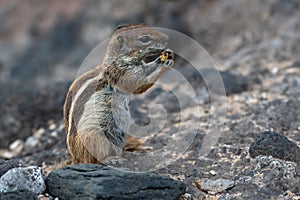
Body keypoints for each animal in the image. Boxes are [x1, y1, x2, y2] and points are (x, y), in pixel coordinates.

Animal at [64, 23, 175, 164]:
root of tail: (75, 158)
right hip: (95, 137)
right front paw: (165, 64)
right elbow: (138, 85)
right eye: (144, 39)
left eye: (147, 26)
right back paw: (111, 159)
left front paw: (164, 57)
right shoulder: (123, 73)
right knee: (94, 159)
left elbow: (147, 69)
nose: (167, 37)